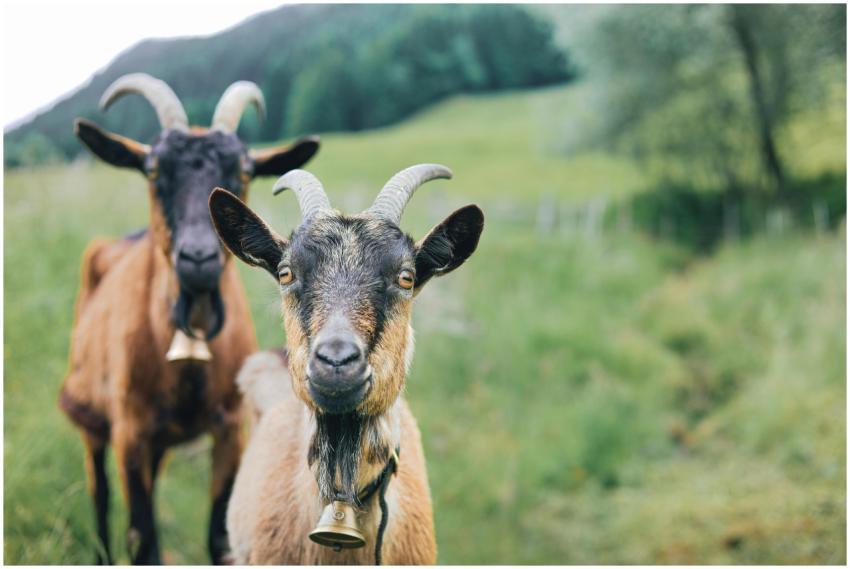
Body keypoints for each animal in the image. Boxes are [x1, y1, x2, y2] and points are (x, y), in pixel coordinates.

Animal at [58, 73, 319, 564]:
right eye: (153, 171)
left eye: (244, 172)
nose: (198, 258)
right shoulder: (130, 431)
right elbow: (143, 539)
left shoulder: (229, 428)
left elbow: (218, 537)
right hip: (93, 417)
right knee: (99, 494)